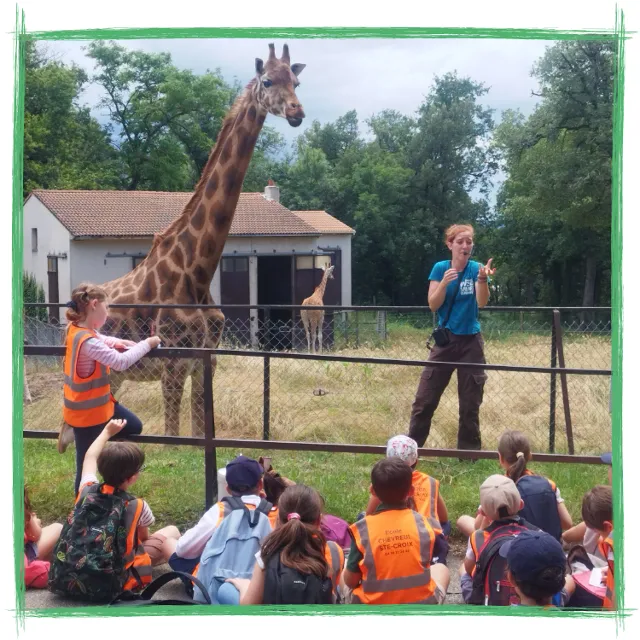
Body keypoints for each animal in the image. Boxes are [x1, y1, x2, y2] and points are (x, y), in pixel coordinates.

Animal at [100, 43, 308, 436]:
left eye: (297, 81)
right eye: (268, 80)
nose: (296, 112)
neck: (196, 271)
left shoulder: (205, 362)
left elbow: (200, 434)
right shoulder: (172, 365)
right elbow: (173, 435)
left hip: (115, 376)